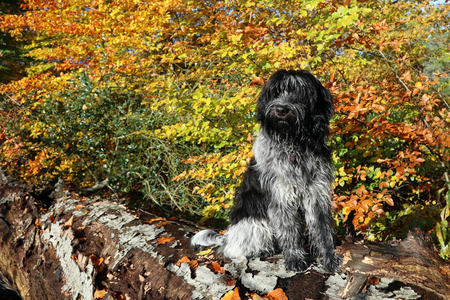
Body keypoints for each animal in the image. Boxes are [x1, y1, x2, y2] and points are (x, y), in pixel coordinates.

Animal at [191, 69, 342, 272]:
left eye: (299, 93)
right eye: (276, 92)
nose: (281, 110)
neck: (293, 144)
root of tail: (228, 236)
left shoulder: (317, 194)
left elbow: (323, 231)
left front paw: (329, 259)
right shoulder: (281, 196)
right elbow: (289, 230)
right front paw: (295, 258)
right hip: (255, 224)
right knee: (235, 249)